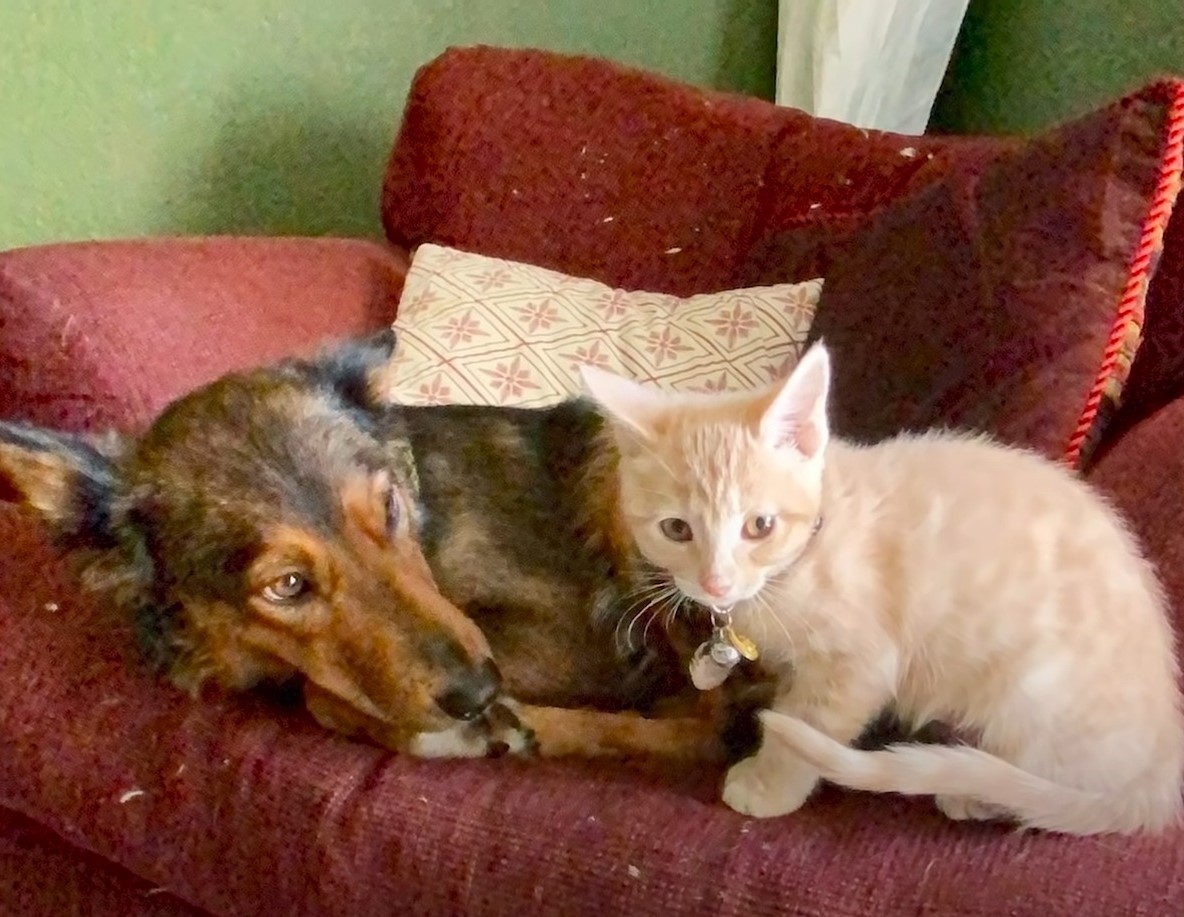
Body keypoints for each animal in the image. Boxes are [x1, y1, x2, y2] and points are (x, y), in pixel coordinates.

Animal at [0, 334, 767, 762]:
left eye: (390, 509)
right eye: (287, 586)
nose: (478, 690)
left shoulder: (576, 639)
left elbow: (323, 697)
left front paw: (481, 726)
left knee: (719, 730)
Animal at [582, 343, 1184, 834]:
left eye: (760, 526)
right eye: (676, 530)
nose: (715, 581)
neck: (804, 558)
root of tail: (1161, 768)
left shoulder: (860, 663)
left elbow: (805, 725)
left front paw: (769, 784)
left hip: (1033, 691)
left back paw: (976, 794)